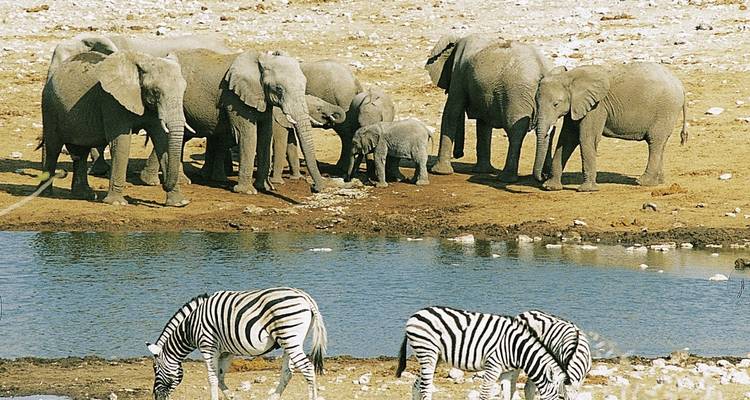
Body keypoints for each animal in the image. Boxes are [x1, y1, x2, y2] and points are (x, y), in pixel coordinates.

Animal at [146, 287, 327, 400]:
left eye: (155, 368)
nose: (155, 396)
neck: (190, 327)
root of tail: (305, 297)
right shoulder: (227, 352)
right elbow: (220, 377)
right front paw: (233, 396)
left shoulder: (207, 346)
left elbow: (212, 378)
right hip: (290, 342)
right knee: (288, 372)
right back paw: (273, 397)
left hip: (289, 337)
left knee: (307, 368)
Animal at [396, 306, 569, 400]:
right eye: (561, 397)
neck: (516, 348)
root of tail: (415, 315)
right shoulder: (493, 367)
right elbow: (485, 395)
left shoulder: (507, 372)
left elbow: (507, 394)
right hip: (428, 353)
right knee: (425, 387)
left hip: (435, 357)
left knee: (417, 385)